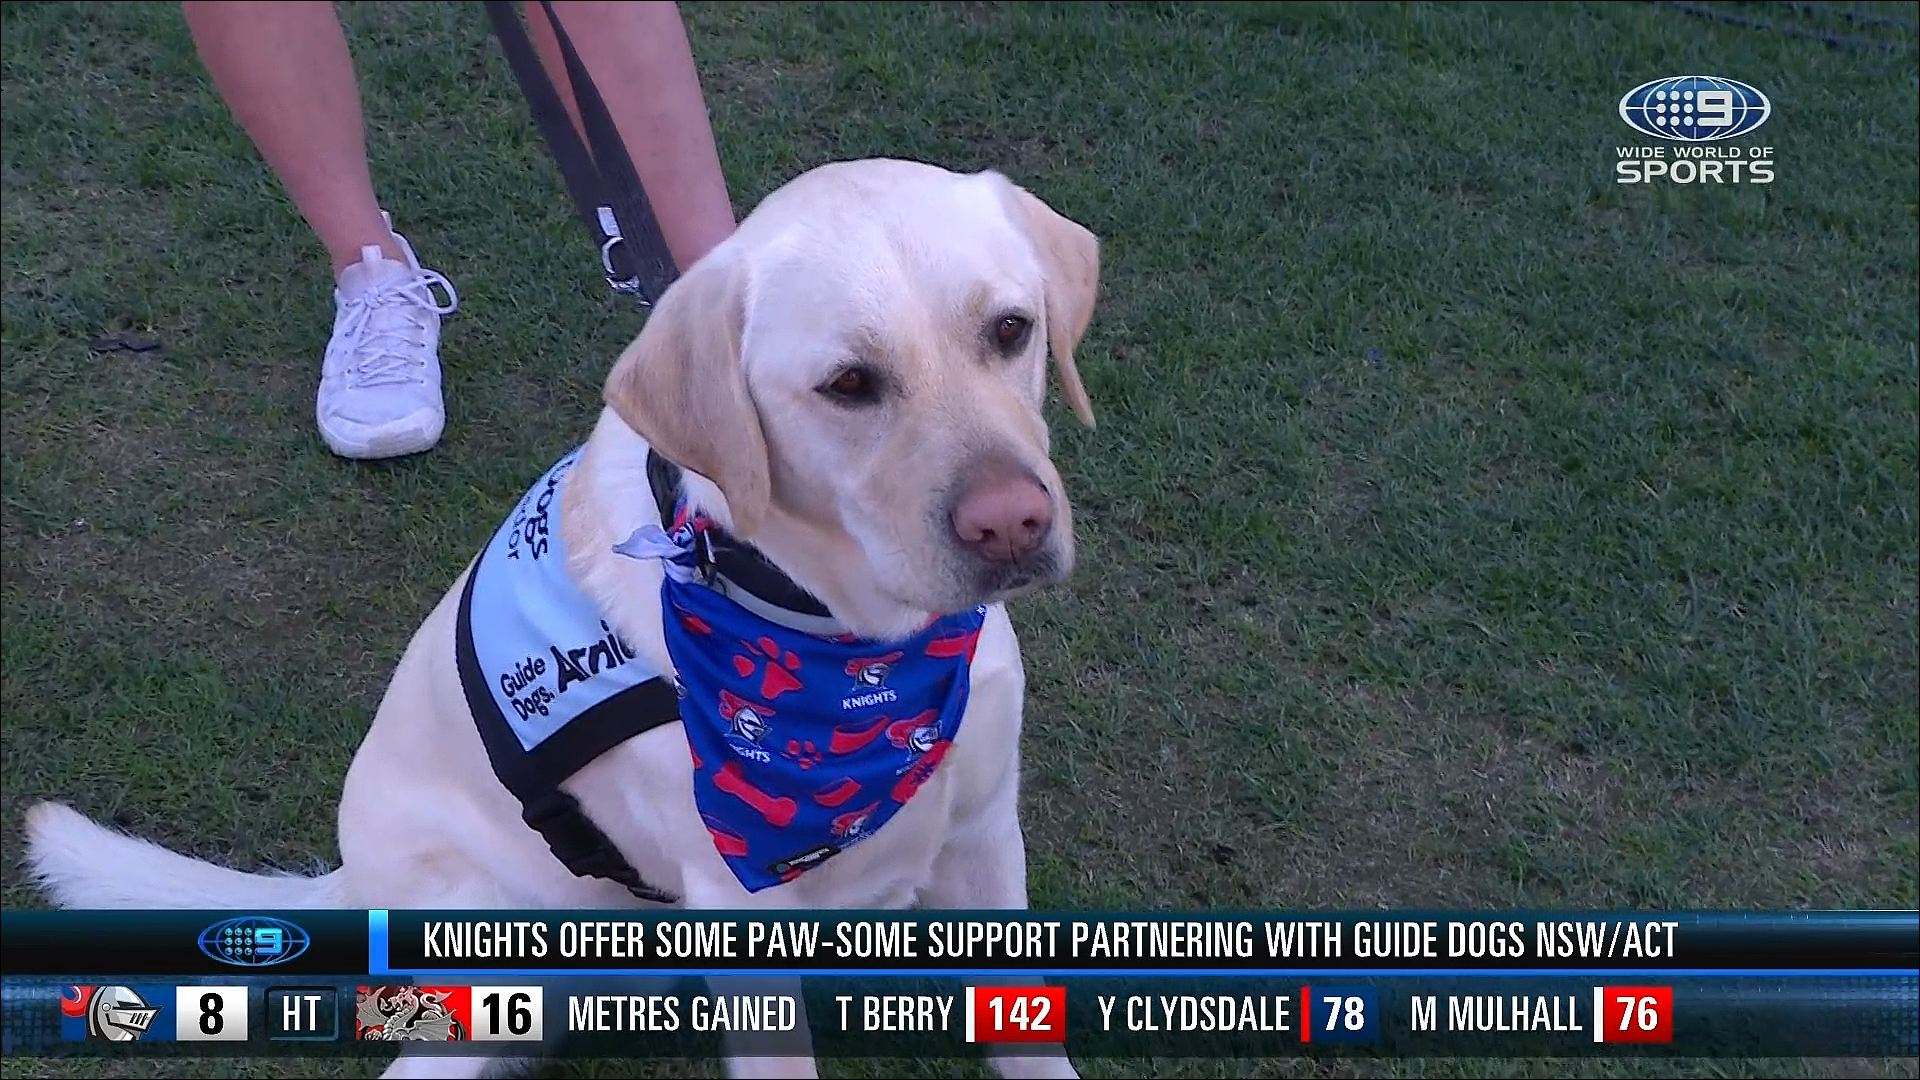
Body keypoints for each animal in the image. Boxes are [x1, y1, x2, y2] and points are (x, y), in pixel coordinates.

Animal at [25, 158, 1101, 1079]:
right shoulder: (740, 912)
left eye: (1011, 330)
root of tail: (350, 883)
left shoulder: (984, 831)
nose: (1012, 523)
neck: (858, 649)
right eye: (848, 385)